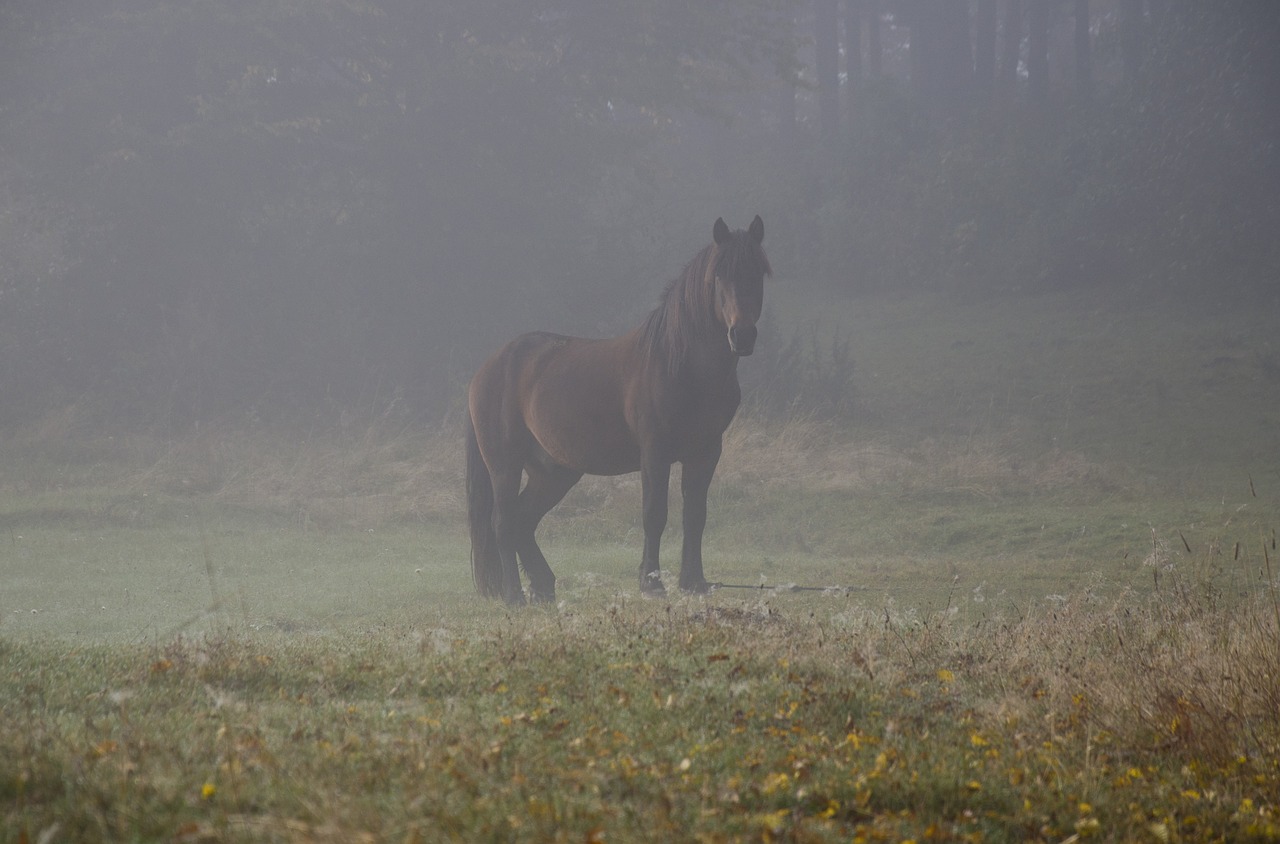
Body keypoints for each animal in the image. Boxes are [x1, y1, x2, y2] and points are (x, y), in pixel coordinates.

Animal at [468, 215, 773, 604]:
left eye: (758, 272)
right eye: (719, 274)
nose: (742, 336)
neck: (680, 364)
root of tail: (488, 368)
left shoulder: (706, 452)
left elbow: (695, 516)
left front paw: (694, 583)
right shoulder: (655, 452)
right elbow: (654, 514)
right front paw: (651, 583)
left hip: (554, 472)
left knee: (524, 520)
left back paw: (543, 587)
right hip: (504, 465)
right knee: (504, 522)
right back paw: (514, 596)